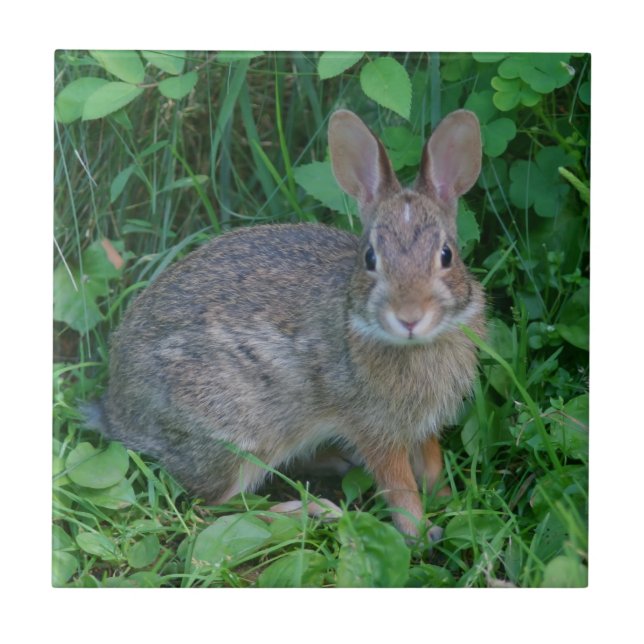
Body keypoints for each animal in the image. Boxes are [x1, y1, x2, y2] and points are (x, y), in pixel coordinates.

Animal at [86, 108, 485, 542]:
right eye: (370, 258)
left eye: (446, 255)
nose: (409, 317)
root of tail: (117, 412)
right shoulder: (375, 428)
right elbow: (400, 487)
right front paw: (419, 533)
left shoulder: (423, 426)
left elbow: (431, 465)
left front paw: (449, 502)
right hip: (238, 434)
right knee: (216, 509)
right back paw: (311, 510)